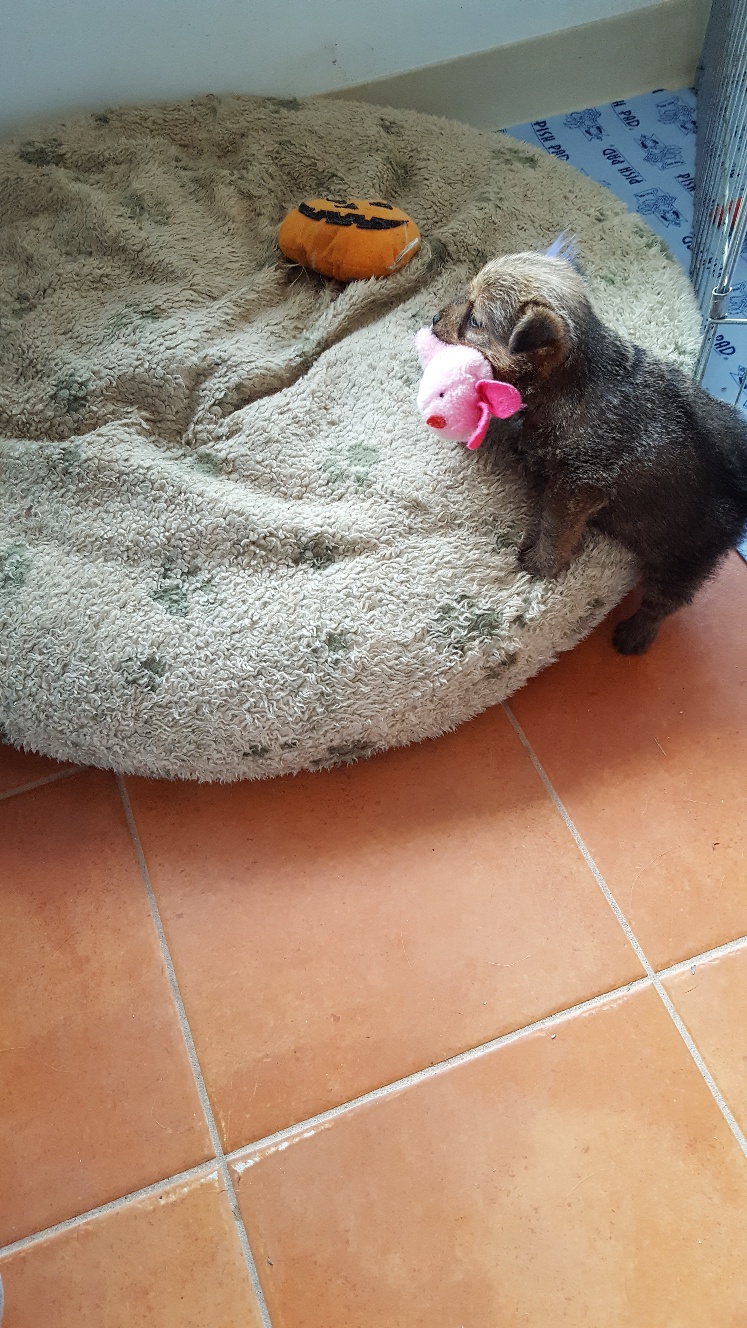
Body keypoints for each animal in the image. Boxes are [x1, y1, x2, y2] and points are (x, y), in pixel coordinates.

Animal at [432, 250, 747, 654]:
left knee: (663, 602)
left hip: (684, 558)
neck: (575, 377)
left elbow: (555, 529)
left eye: (474, 321)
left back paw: (637, 633)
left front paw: (542, 564)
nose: (434, 318)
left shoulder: (578, 488)